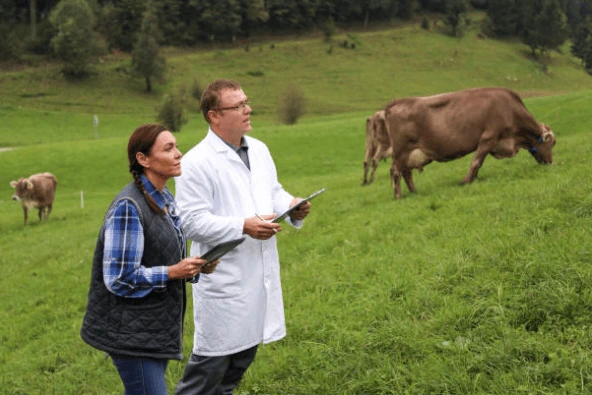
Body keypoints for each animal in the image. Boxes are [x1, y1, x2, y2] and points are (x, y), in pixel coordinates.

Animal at [384, 86, 556, 198]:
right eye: (553, 143)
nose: (550, 163)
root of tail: (396, 102)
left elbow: (478, 163)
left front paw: (473, 179)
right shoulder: (488, 138)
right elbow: (476, 162)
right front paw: (466, 181)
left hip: (408, 154)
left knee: (406, 172)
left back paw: (414, 192)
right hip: (400, 151)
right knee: (395, 171)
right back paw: (398, 196)